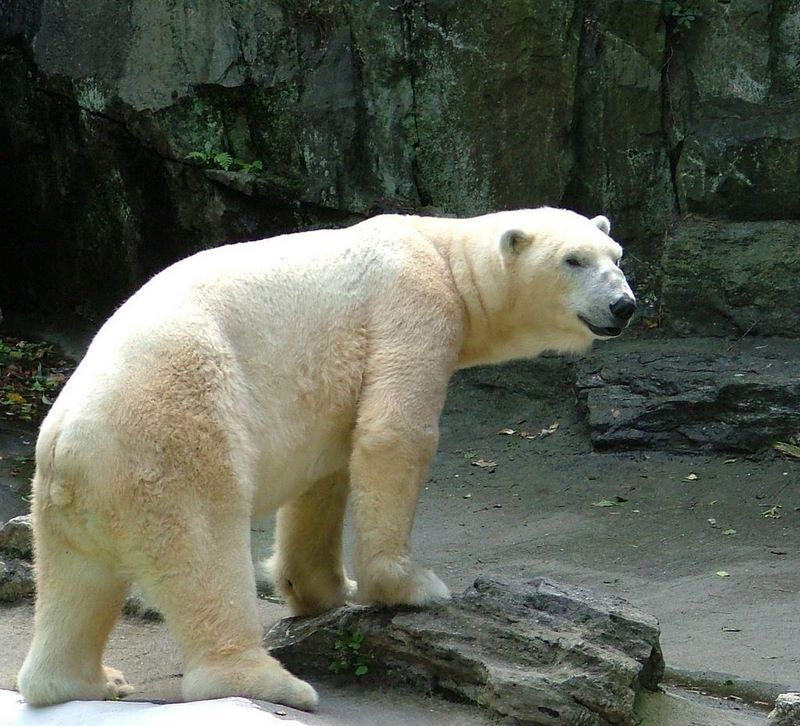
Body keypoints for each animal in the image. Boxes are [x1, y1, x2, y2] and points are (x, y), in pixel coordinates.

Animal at [18, 207, 635, 710]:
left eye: (617, 255)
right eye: (573, 259)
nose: (624, 305)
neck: (443, 252)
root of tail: (68, 443)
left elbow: (325, 474)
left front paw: (326, 590)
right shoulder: (412, 308)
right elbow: (395, 434)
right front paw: (411, 585)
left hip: (67, 502)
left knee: (76, 586)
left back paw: (89, 681)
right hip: (169, 439)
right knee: (204, 551)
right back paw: (272, 682)